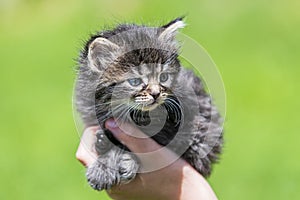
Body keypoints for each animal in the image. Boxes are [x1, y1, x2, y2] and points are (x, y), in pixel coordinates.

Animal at [75, 17, 223, 191]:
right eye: (135, 81)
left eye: (164, 77)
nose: (156, 94)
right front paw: (104, 166)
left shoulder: (183, 121)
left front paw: (118, 162)